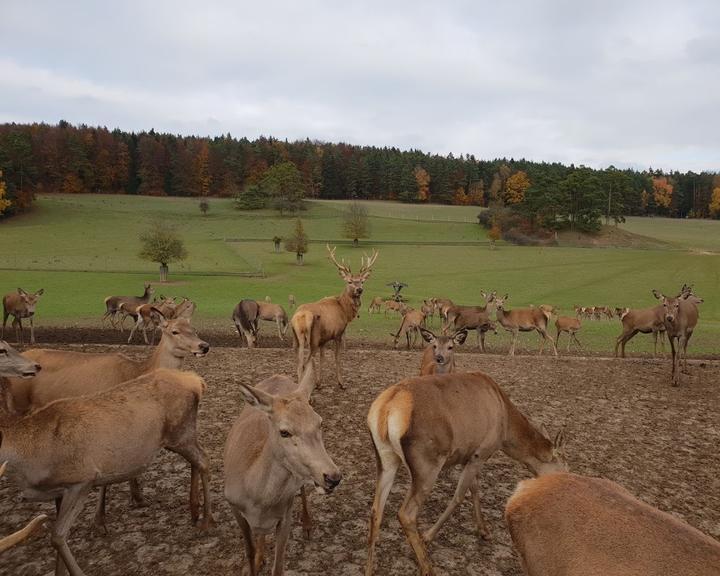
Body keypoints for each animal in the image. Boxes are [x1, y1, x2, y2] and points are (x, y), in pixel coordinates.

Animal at [0, 368, 212, 576]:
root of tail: (197, 381)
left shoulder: (82, 479)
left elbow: (57, 536)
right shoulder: (58, 490)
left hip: (180, 433)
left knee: (204, 460)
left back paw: (206, 521)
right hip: (177, 438)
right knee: (196, 460)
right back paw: (194, 511)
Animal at [224, 364, 342, 576]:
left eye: (320, 423)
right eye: (284, 432)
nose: (333, 477)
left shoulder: (285, 513)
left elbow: (278, 565)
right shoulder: (233, 505)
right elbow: (249, 553)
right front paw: (256, 560)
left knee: (302, 489)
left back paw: (307, 525)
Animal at [290, 245, 380, 390]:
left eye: (362, 281)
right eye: (349, 281)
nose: (359, 290)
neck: (343, 310)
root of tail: (301, 317)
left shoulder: (323, 339)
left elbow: (322, 359)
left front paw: (319, 383)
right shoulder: (337, 333)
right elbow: (337, 357)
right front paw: (341, 383)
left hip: (297, 337)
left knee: (299, 361)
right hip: (313, 338)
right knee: (306, 362)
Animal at [366, 372, 568, 572]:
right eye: (566, 465)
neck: (505, 422)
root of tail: (386, 409)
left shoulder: (469, 456)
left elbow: (474, 489)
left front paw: (484, 531)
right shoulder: (481, 453)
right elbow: (460, 496)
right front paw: (428, 536)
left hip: (386, 459)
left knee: (376, 509)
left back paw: (370, 568)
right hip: (427, 467)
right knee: (406, 514)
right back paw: (428, 568)